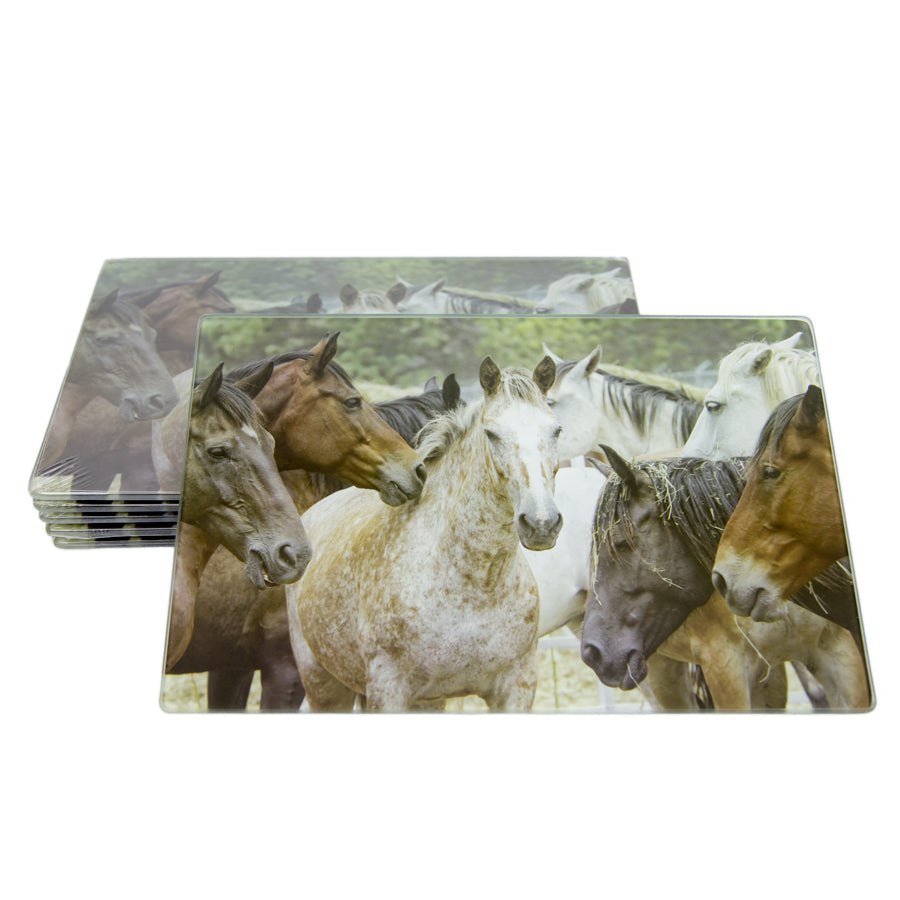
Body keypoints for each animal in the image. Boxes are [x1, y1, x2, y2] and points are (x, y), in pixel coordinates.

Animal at [284, 356, 562, 711]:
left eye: (556, 430)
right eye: (492, 433)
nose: (541, 523)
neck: (474, 584)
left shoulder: (516, 689)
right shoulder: (389, 691)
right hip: (323, 684)